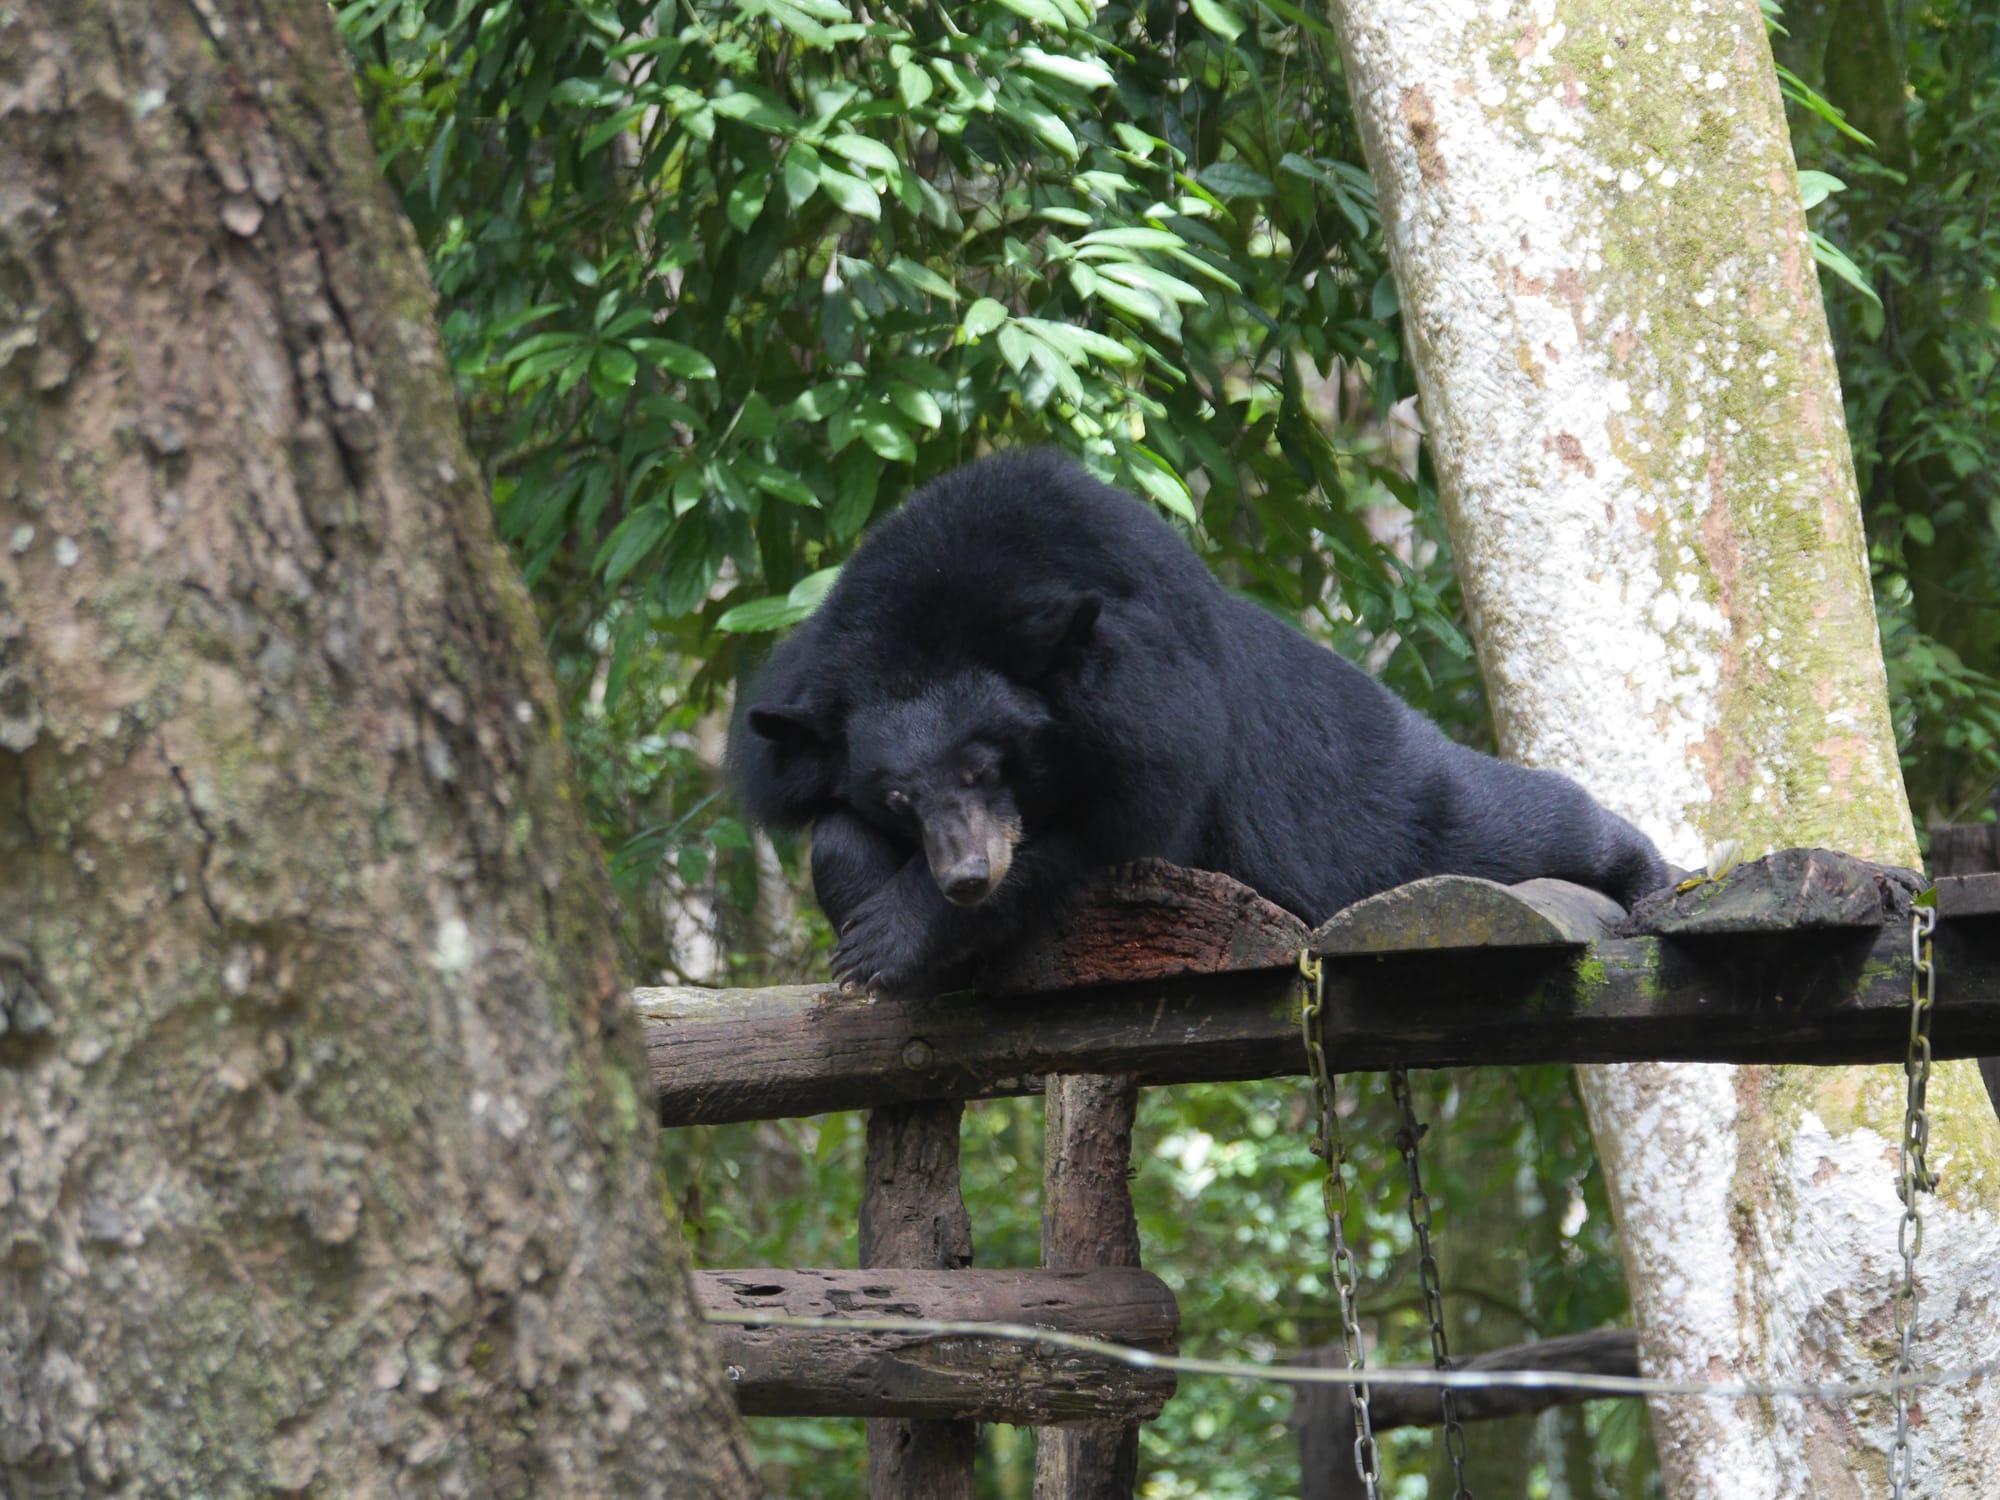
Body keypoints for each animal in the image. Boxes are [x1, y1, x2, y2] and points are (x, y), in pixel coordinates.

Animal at [728, 452, 1664, 992]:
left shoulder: (1161, 720)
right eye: (896, 798)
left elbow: (1108, 843)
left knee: (1495, 821)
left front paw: (890, 941)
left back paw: (1647, 876)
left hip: (1382, 800)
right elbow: (834, 835)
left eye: (987, 766)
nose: (965, 876)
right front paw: (867, 923)